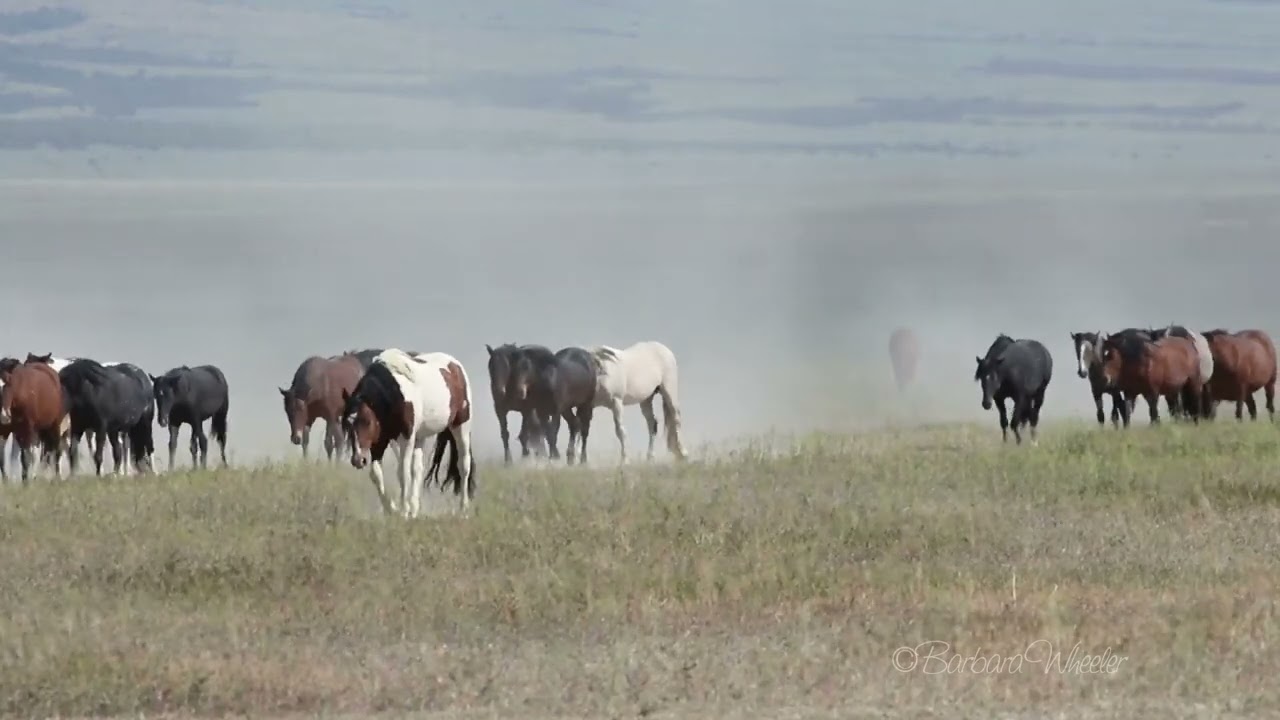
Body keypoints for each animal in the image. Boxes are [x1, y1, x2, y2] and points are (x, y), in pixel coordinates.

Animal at [340, 348, 475, 518]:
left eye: (367, 421)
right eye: (347, 424)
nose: (358, 459)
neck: (391, 394)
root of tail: (455, 365)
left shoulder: (406, 437)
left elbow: (403, 473)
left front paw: (403, 511)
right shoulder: (379, 441)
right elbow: (376, 473)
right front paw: (392, 508)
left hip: (461, 425)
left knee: (463, 465)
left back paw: (463, 509)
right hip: (420, 437)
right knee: (417, 469)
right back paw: (414, 508)